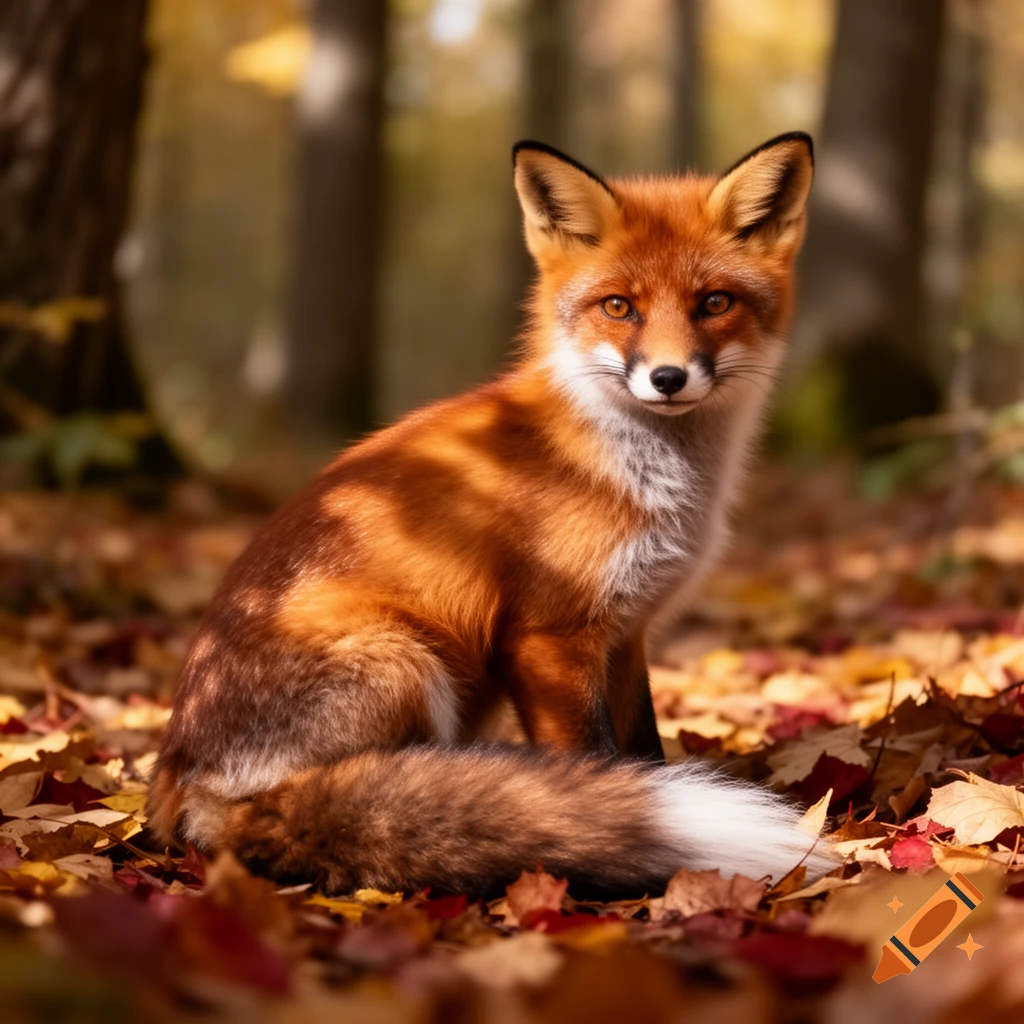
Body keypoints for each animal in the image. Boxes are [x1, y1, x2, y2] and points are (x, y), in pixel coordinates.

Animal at [148, 132, 834, 894]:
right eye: (618, 307)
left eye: (714, 302)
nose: (667, 378)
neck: (639, 473)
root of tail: (185, 790)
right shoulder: (548, 636)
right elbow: (597, 762)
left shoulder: (626, 631)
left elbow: (644, 755)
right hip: (406, 660)